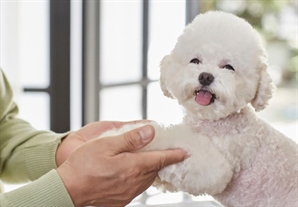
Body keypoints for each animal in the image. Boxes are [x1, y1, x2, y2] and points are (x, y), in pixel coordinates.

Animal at [100, 11, 298, 207]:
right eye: (195, 61)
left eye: (228, 67)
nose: (205, 77)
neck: (212, 122)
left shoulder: (217, 165)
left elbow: (168, 137)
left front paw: (116, 135)